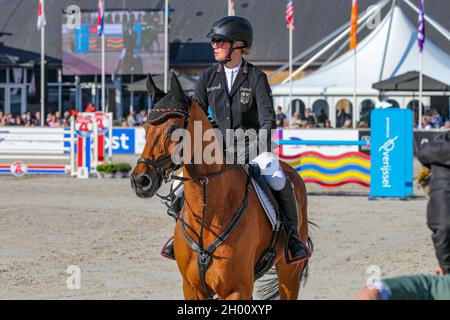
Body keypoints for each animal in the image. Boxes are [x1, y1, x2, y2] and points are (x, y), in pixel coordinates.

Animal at [130, 74, 312, 300]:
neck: (208, 214)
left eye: (174, 129)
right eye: (146, 128)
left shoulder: (236, 290)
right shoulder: (192, 288)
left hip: (289, 273)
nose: (140, 180)